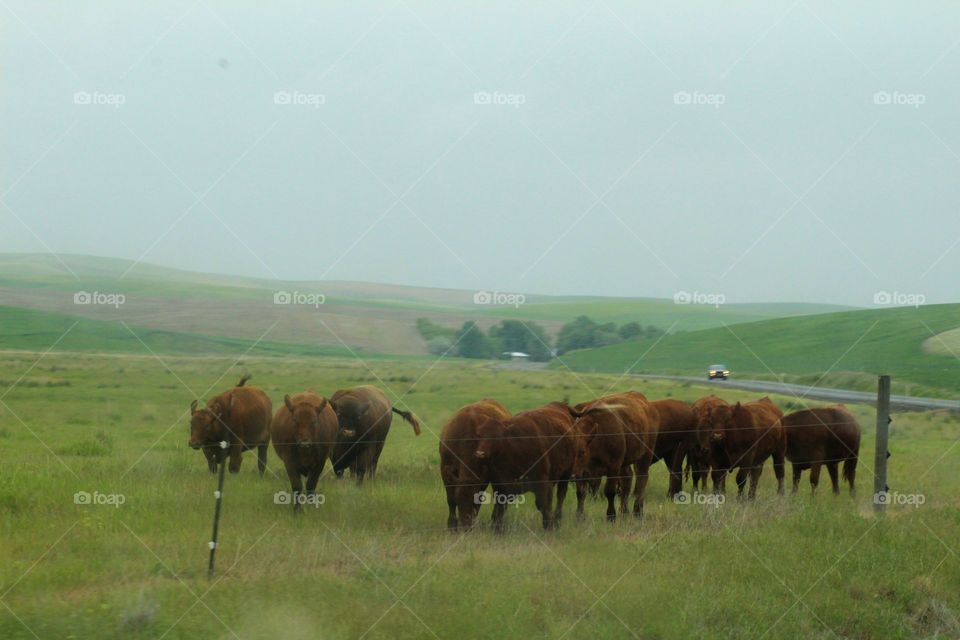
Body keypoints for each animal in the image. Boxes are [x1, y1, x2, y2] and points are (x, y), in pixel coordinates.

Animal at [439, 399, 511, 530]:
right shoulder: (445, 469)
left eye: (474, 502)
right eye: (458, 500)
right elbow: (450, 500)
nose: (466, 526)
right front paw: (452, 525)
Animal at [474, 402, 584, 532]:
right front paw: (497, 529)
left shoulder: (542, 483)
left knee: (561, 495)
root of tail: (561, 405)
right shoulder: (501, 486)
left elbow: (543, 505)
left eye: (496, 437)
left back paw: (557, 520)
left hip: (566, 473)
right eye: (480, 435)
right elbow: (498, 510)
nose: (480, 453)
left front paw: (549, 526)